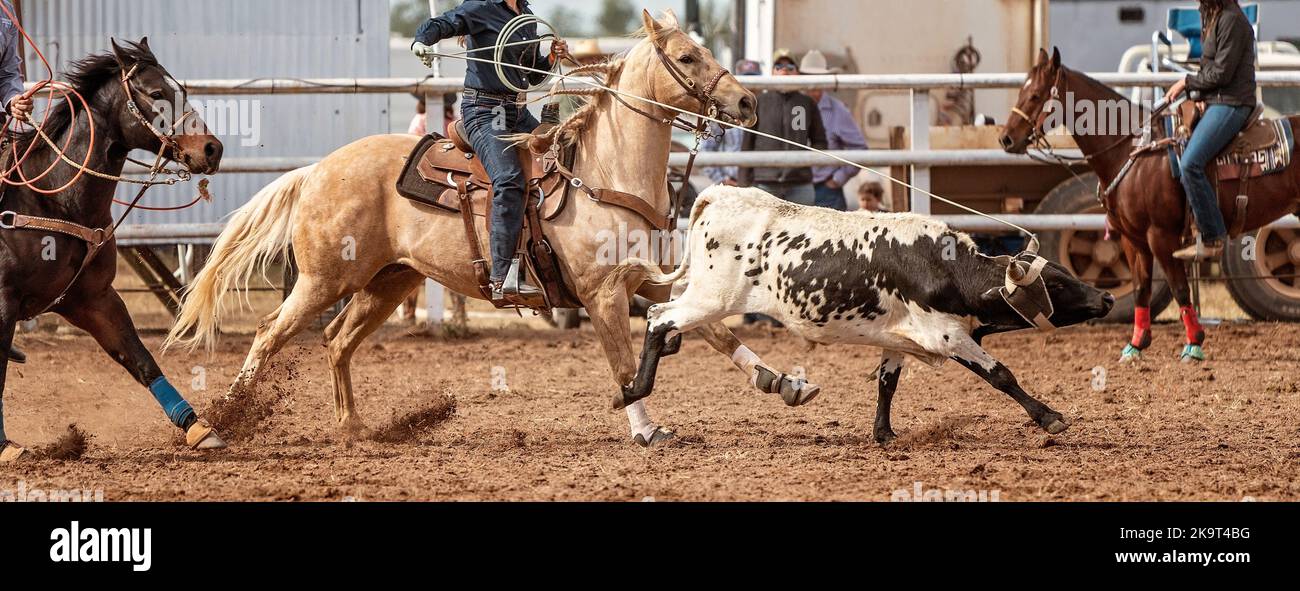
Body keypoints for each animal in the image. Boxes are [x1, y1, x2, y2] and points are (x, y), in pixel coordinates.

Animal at [0, 39, 227, 462]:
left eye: (181, 91)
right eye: (156, 93)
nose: (212, 149)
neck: (52, 197)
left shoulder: (93, 299)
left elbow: (140, 360)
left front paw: (197, 428)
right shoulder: (5, 302)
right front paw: (6, 447)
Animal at [163, 11, 811, 446]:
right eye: (688, 56)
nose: (748, 104)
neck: (602, 171)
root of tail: (317, 169)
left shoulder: (644, 280)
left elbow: (715, 330)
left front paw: (782, 382)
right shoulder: (602, 292)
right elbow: (625, 365)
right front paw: (646, 428)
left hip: (388, 282)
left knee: (336, 341)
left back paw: (355, 426)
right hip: (326, 279)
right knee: (269, 334)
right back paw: (225, 419)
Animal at [613, 187, 1112, 441]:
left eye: (1066, 273)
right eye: (1058, 285)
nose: (1106, 299)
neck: (945, 266)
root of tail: (719, 195)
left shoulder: (898, 340)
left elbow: (886, 386)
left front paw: (885, 434)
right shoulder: (948, 336)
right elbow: (1001, 374)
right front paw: (1049, 417)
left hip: (704, 295)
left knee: (662, 311)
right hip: (713, 297)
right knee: (659, 318)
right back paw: (633, 389)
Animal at [1003, 50, 1300, 363]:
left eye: (1035, 95)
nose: (1006, 138)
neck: (1133, 151)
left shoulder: (1161, 236)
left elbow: (1180, 288)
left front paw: (1194, 345)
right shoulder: (1133, 239)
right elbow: (1141, 289)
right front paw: (1136, 345)